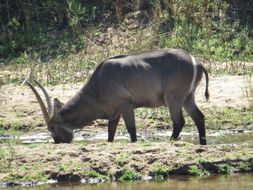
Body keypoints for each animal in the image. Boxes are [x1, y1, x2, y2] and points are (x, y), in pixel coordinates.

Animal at [27, 48, 210, 145]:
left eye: (52, 127)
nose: (57, 141)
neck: (98, 82)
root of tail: (197, 63)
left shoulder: (125, 106)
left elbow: (131, 130)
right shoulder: (114, 113)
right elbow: (110, 134)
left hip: (173, 99)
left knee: (179, 122)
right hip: (187, 98)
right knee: (199, 117)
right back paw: (202, 144)